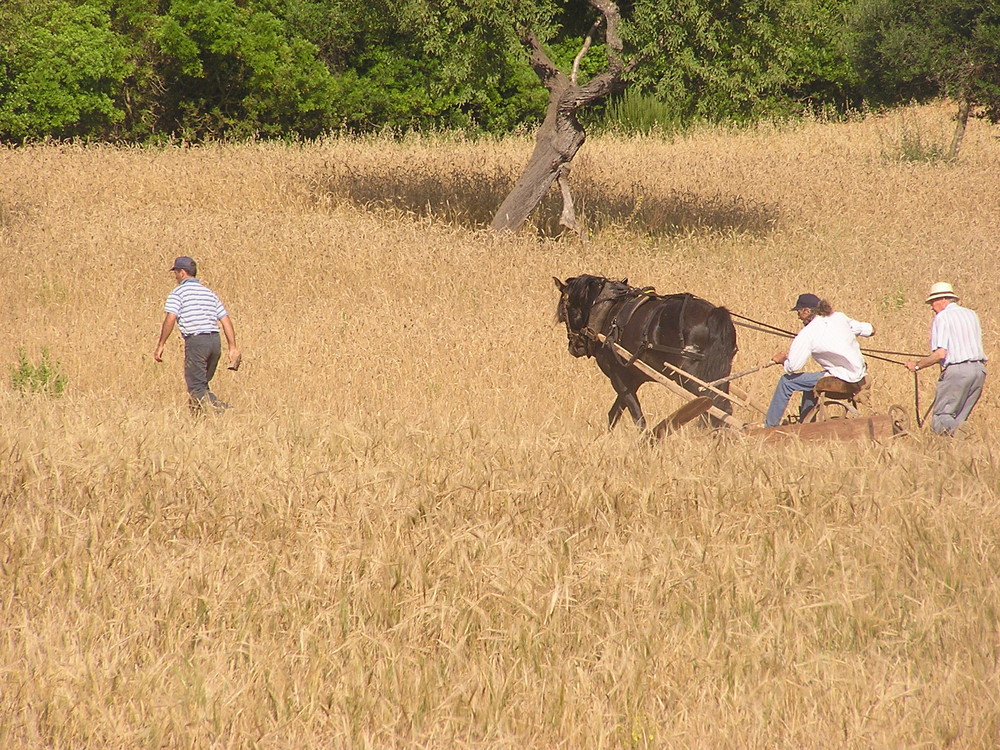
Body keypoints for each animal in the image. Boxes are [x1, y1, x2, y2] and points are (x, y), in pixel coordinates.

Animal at [552, 274, 740, 428]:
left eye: (566, 309)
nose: (573, 346)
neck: (608, 311)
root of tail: (714, 313)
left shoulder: (619, 378)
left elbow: (637, 418)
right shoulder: (632, 379)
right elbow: (614, 414)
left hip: (693, 379)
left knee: (716, 409)